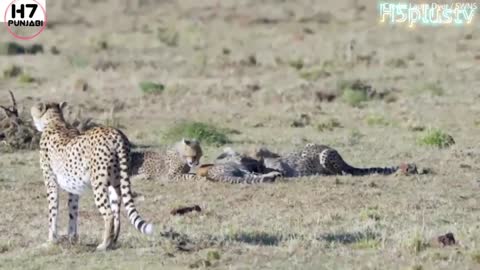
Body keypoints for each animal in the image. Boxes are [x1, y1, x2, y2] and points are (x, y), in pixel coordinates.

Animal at [30, 102, 153, 251]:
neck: (56, 122)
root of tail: (115, 132)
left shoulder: (50, 182)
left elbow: (53, 211)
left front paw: (50, 241)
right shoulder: (73, 188)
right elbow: (72, 210)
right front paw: (72, 238)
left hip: (98, 183)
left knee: (108, 214)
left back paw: (104, 245)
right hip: (116, 182)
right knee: (116, 212)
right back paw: (113, 241)